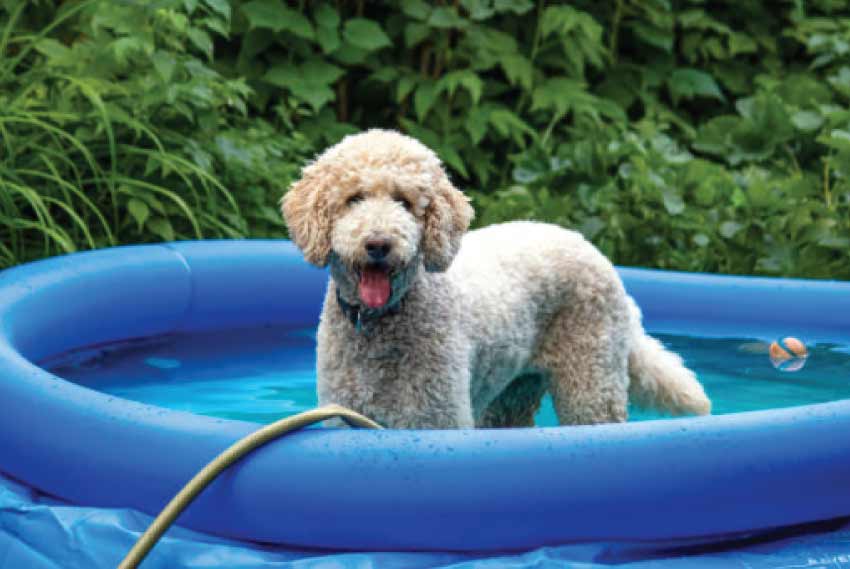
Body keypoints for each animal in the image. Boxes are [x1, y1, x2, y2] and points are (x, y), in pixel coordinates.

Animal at [284, 129, 708, 428]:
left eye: (404, 202)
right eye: (353, 199)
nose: (378, 244)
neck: (380, 321)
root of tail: (592, 249)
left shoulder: (436, 418)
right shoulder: (345, 415)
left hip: (591, 382)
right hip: (512, 395)